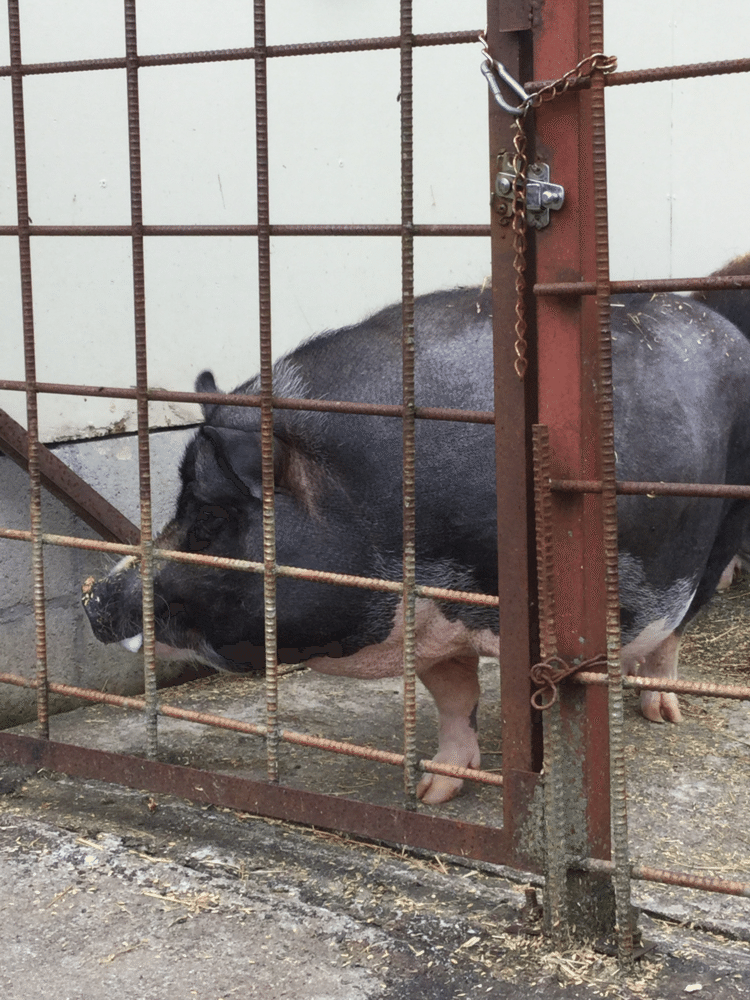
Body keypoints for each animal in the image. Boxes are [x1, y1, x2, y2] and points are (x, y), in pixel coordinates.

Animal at [81, 286, 750, 800]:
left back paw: (663, 713)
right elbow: (454, 697)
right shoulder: (429, 619)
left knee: (680, 625)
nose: (95, 597)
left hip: (722, 529)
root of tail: (722, 326)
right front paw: (434, 792)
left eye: (211, 521)